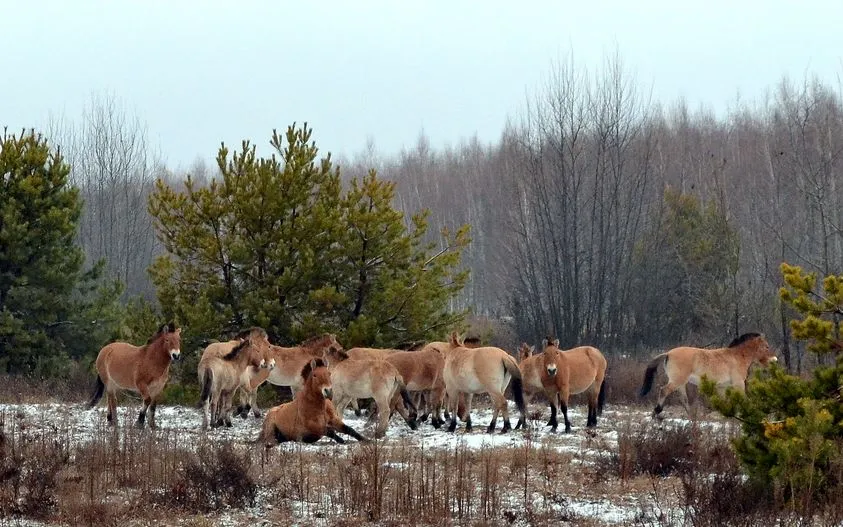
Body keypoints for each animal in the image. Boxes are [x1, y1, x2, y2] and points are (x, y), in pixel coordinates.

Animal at [640, 332, 780, 418]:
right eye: (766, 347)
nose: (774, 360)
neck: (737, 357)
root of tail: (668, 353)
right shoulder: (739, 384)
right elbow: (744, 399)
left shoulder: (722, 387)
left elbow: (726, 402)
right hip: (677, 381)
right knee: (664, 390)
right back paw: (657, 411)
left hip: (681, 383)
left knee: (684, 400)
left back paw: (692, 418)